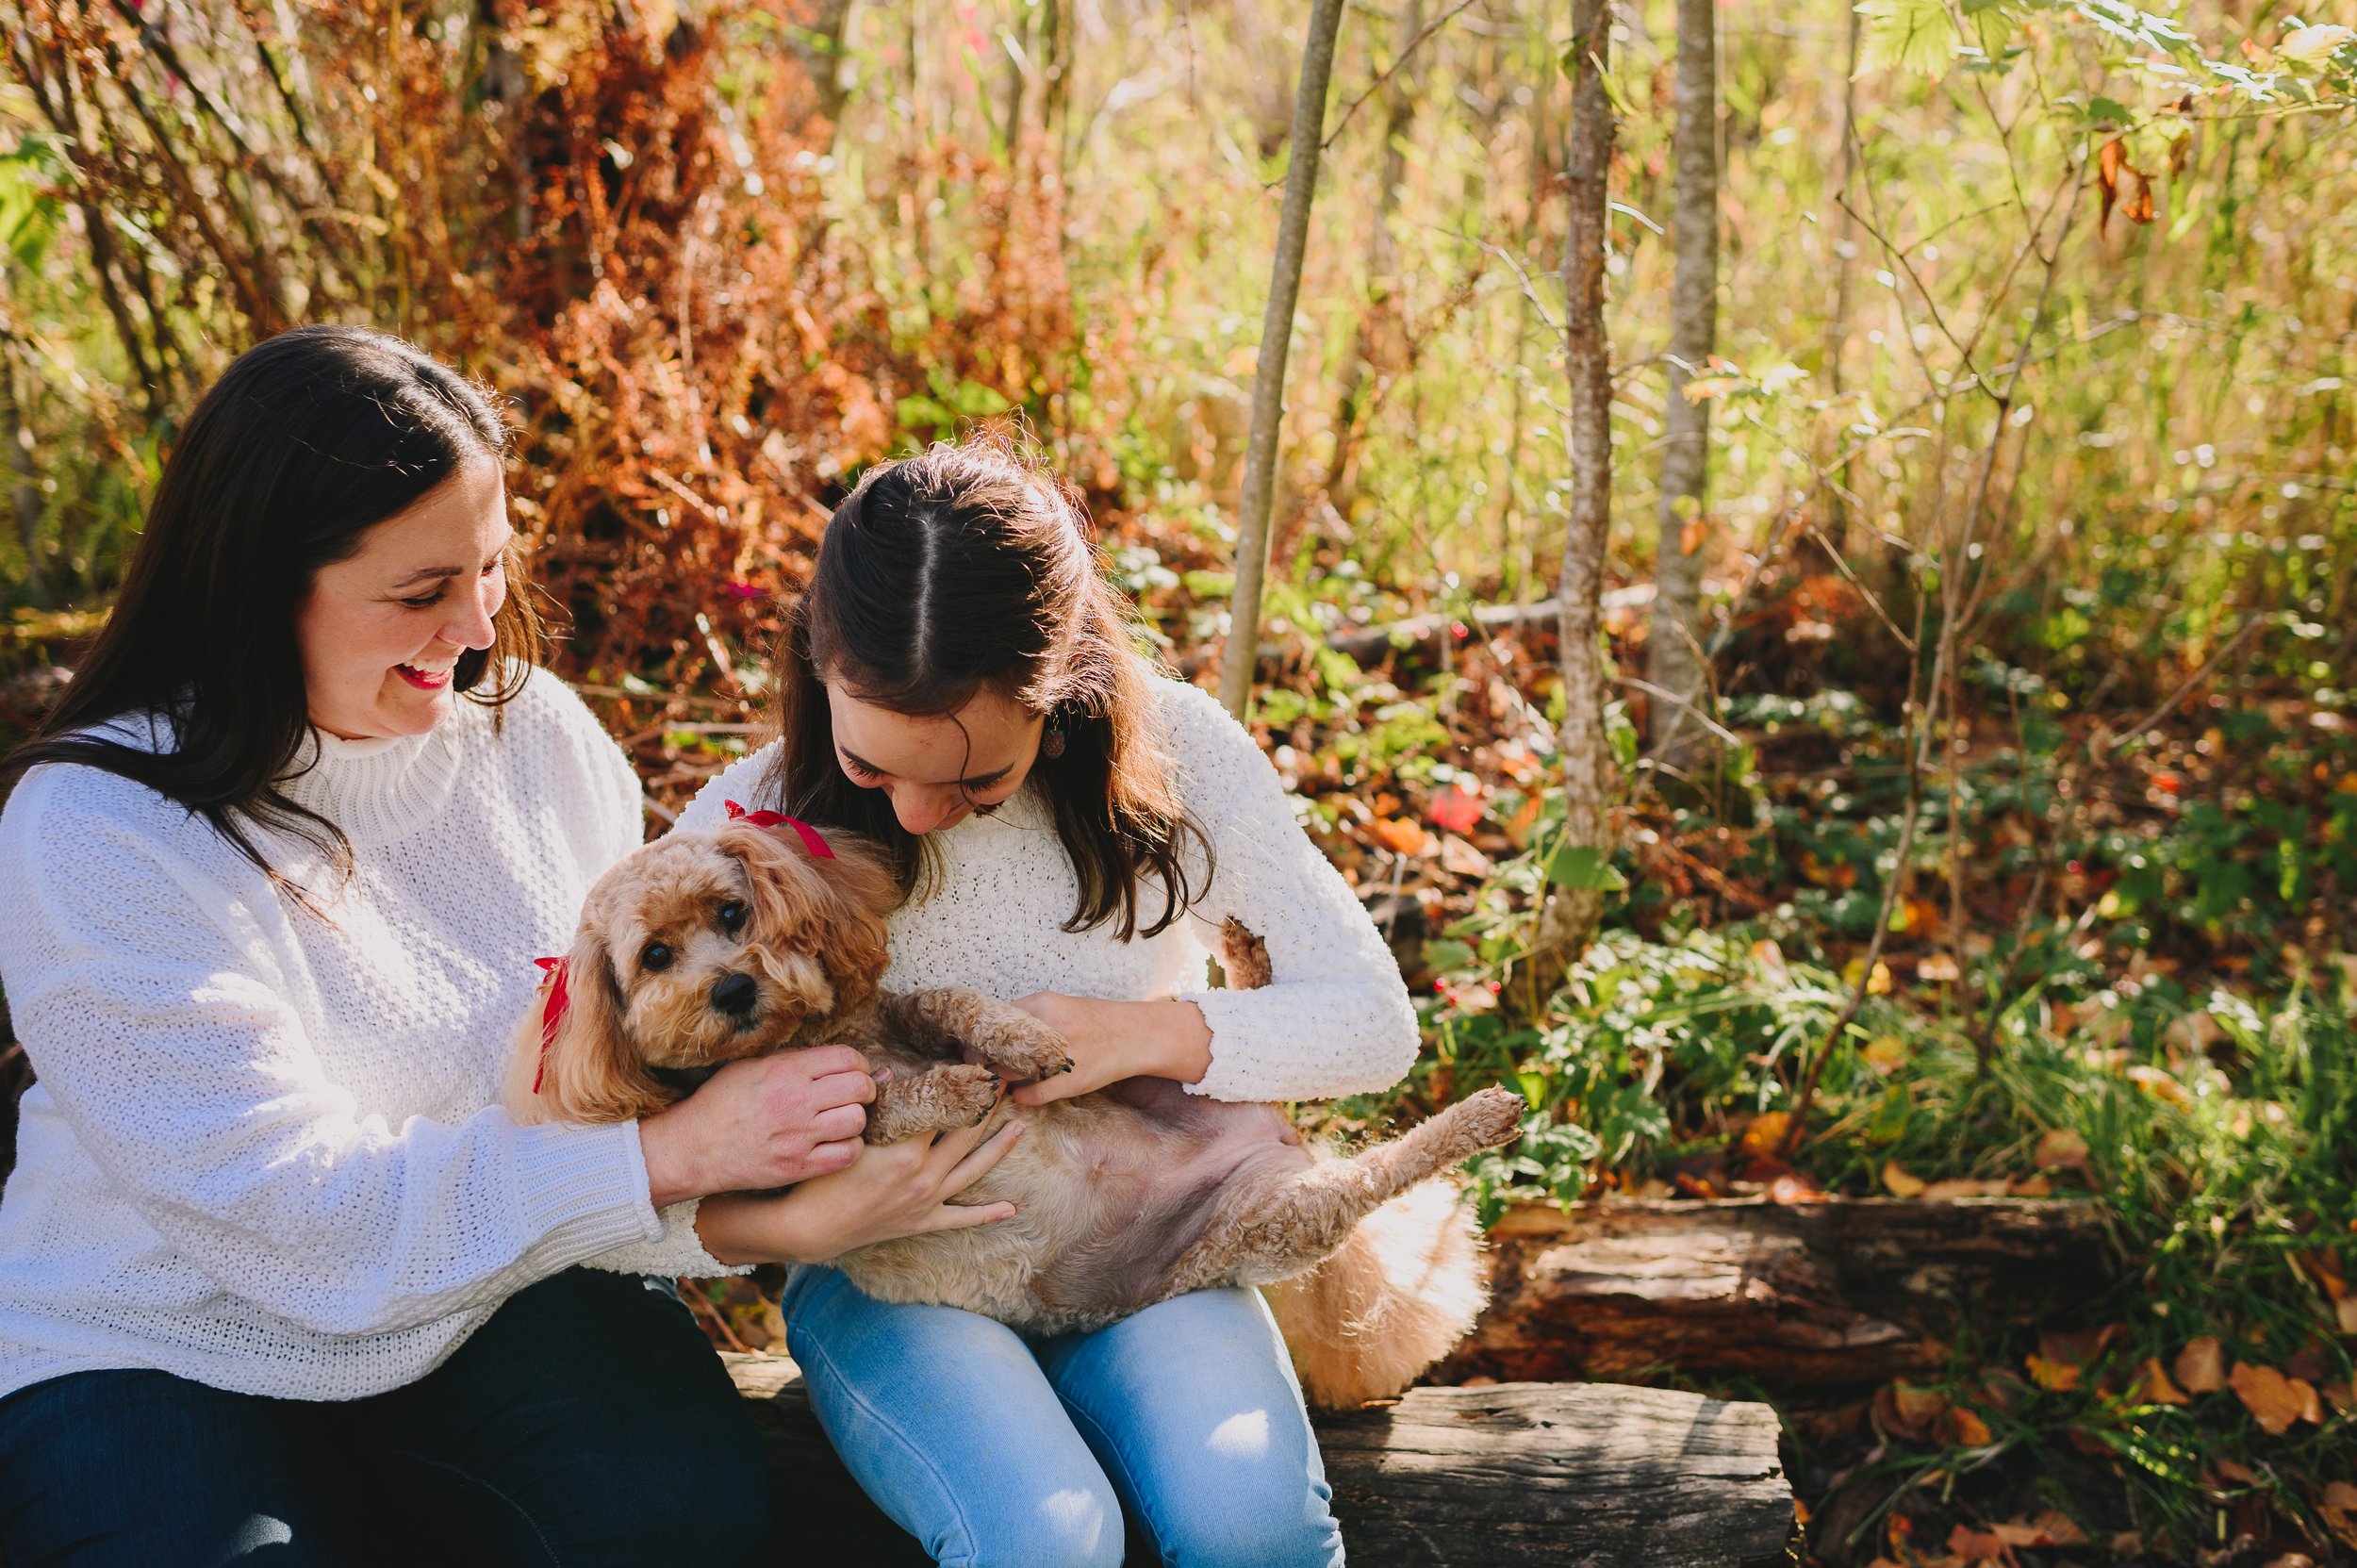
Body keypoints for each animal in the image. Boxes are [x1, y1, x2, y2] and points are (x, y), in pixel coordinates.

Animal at [506, 811, 1518, 1395]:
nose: (732, 989)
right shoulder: (797, 1155)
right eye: (655, 957)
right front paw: (952, 1087)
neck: (805, 1039)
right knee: (1371, 1176)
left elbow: (961, 1006)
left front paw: (1019, 1043)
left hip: (1182, 1100)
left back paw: (1258, 960)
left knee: (1253, 1049)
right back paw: (1480, 1115)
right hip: (1269, 1224)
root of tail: (1275, 1142)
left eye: (730, 911)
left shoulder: (907, 1005)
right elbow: (875, 1106)